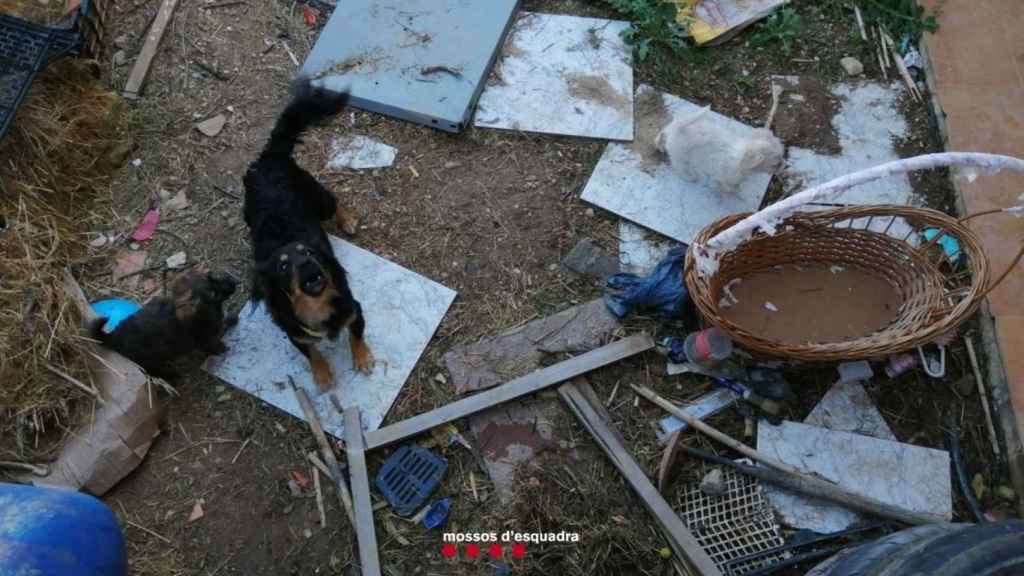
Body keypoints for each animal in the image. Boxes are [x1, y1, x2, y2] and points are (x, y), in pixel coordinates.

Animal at [91, 268, 236, 377]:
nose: (233, 282)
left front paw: (231, 318)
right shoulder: (205, 338)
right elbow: (214, 340)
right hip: (148, 360)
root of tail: (114, 335)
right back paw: (172, 376)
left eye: (210, 276)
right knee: (154, 371)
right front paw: (221, 348)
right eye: (213, 294)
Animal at [242, 78, 372, 389]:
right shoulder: (294, 333)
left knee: (334, 201)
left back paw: (348, 220)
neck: (316, 306)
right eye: (283, 266)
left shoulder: (354, 308)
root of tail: (270, 156)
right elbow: (311, 351)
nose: (306, 264)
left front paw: (362, 358)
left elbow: (356, 333)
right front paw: (322, 374)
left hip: (319, 200)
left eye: (310, 252)